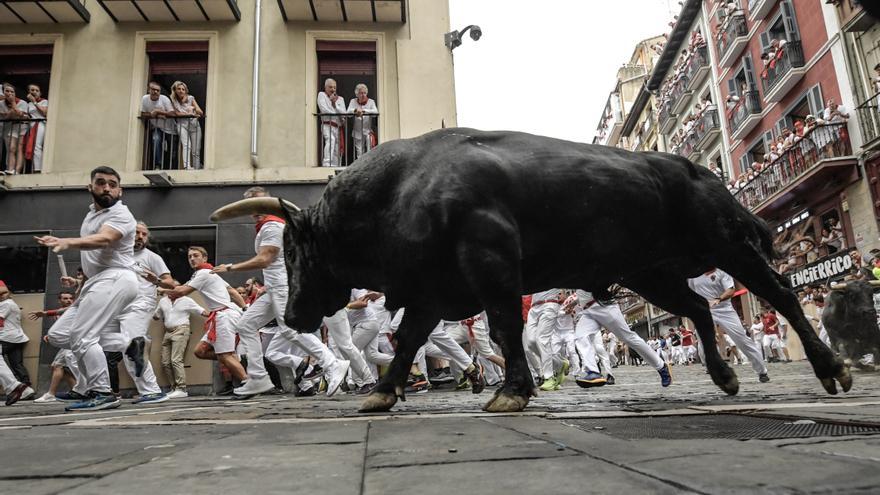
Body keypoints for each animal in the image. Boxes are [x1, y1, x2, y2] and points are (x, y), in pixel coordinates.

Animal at [208, 129, 852, 414]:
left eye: (295, 249)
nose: (294, 313)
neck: (399, 191)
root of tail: (699, 169)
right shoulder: (434, 290)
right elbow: (410, 339)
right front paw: (385, 391)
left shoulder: (490, 267)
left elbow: (502, 328)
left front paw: (512, 391)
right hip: (650, 272)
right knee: (696, 308)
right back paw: (725, 379)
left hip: (731, 245)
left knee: (781, 295)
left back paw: (832, 370)